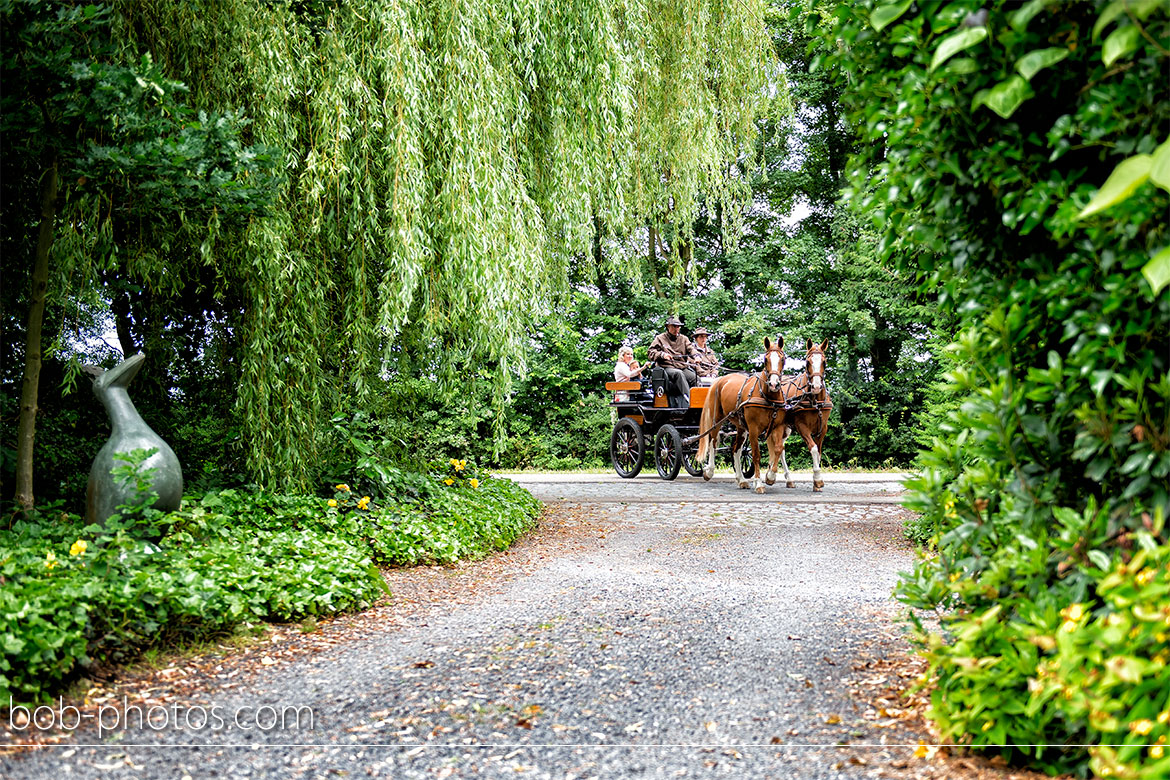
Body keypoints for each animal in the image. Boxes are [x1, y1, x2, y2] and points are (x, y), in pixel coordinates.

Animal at [692, 336, 795, 493]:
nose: (774, 384)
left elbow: (778, 449)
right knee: (713, 442)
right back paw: (709, 471)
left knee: (736, 449)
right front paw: (758, 483)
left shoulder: (777, 427)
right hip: (717, 420)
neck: (766, 397)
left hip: (741, 426)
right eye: (765, 359)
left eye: (782, 359)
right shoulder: (753, 429)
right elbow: (756, 455)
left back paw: (741, 479)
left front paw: (770, 477)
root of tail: (719, 380)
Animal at [776, 339, 833, 491]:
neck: (815, 401)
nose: (817, 386)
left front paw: (817, 481)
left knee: (781, 448)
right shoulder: (802, 426)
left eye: (824, 362)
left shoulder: (822, 428)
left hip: (786, 428)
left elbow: (819, 452)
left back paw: (789, 479)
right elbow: (813, 449)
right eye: (807, 362)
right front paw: (817, 479)